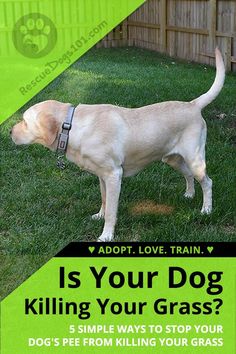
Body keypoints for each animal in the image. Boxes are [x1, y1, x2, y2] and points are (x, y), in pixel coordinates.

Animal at [11, 47, 225, 241]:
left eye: (24, 121)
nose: (9, 131)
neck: (71, 127)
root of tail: (193, 105)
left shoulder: (114, 175)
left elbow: (112, 211)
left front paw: (106, 236)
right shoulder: (102, 176)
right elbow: (104, 201)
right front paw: (99, 215)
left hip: (194, 159)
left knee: (207, 182)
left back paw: (206, 210)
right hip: (173, 159)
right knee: (189, 175)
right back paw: (189, 194)